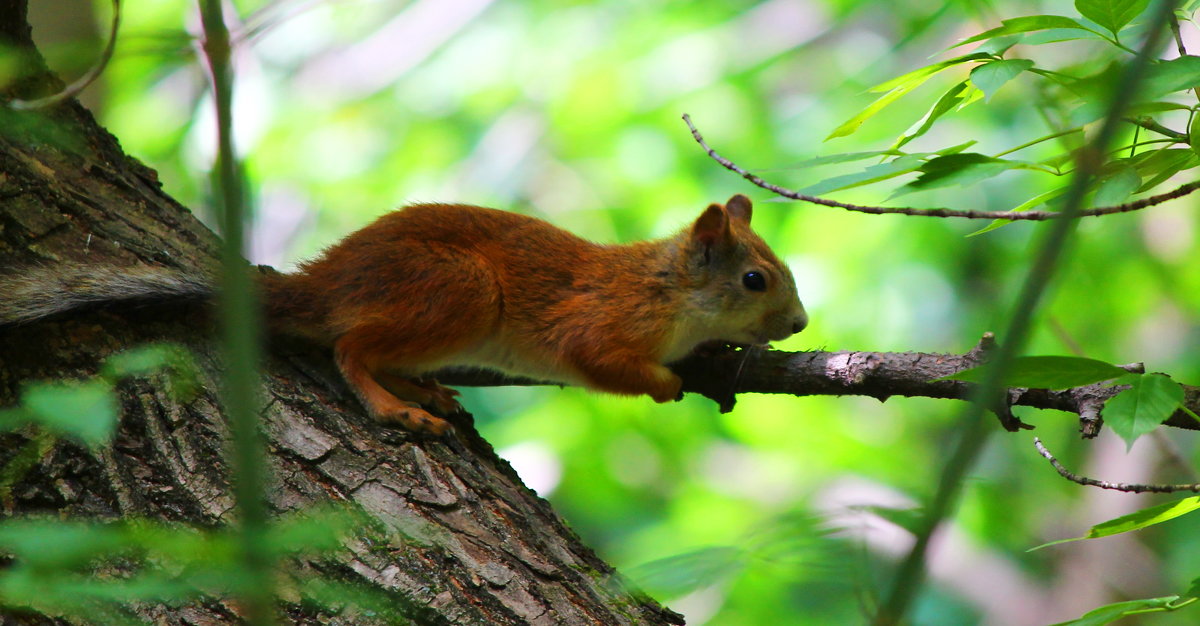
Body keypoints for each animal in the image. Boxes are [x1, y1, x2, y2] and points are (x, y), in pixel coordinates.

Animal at [2, 194, 806, 434]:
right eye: (755, 279)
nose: (799, 325)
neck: (669, 292)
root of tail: (324, 284)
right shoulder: (602, 321)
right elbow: (604, 363)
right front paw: (668, 384)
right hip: (458, 291)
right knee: (350, 350)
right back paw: (394, 405)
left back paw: (425, 390)